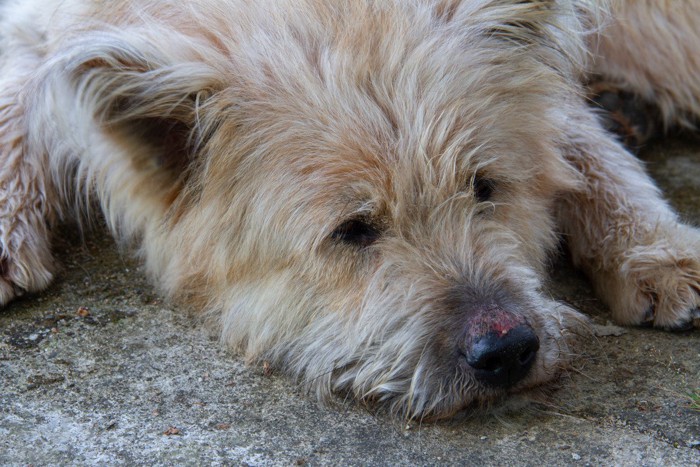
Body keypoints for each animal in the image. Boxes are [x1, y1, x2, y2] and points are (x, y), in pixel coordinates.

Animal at [1, 0, 700, 420]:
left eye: (484, 188)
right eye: (354, 230)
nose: (507, 351)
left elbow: (580, 144)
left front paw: (653, 248)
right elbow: (18, 90)